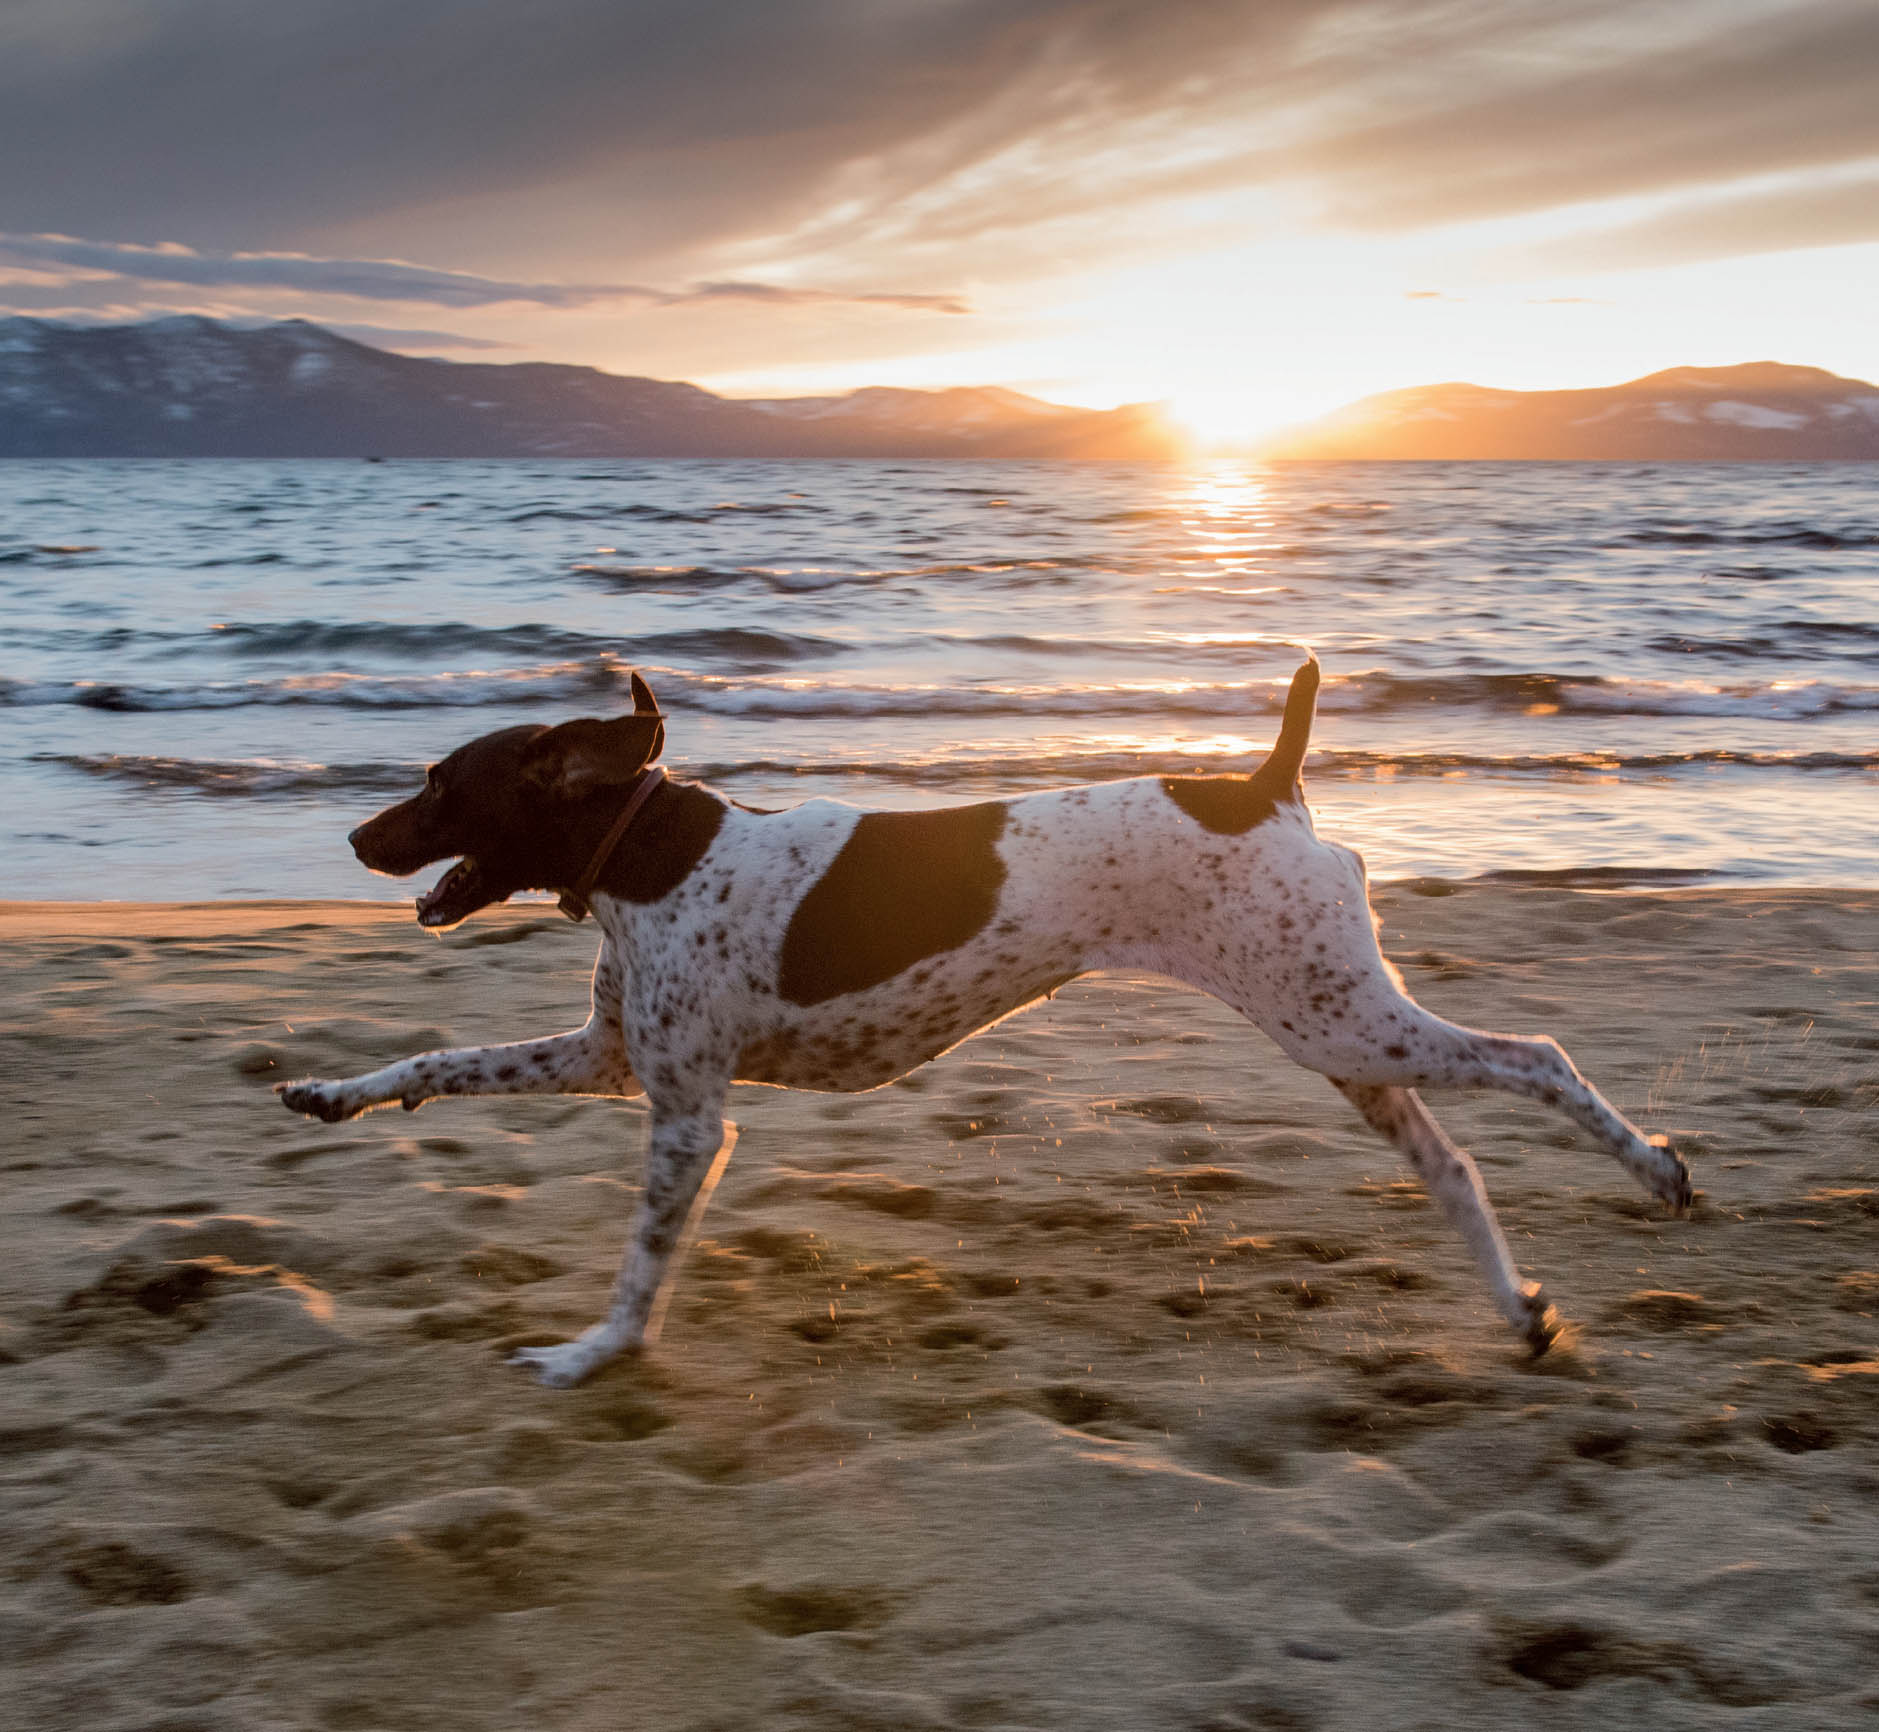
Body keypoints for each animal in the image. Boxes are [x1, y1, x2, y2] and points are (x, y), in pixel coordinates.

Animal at [274, 653, 1691, 1382]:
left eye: (440, 783)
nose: (350, 837)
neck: (651, 853)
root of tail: (1265, 782)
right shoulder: (612, 1061)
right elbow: (440, 1058)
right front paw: (334, 1093)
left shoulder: (686, 1119)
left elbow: (639, 1268)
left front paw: (592, 1354)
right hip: (1338, 1030)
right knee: (1452, 1166)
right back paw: (1518, 1310)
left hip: (1341, 1024)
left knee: (1537, 1056)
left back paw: (1656, 1169)